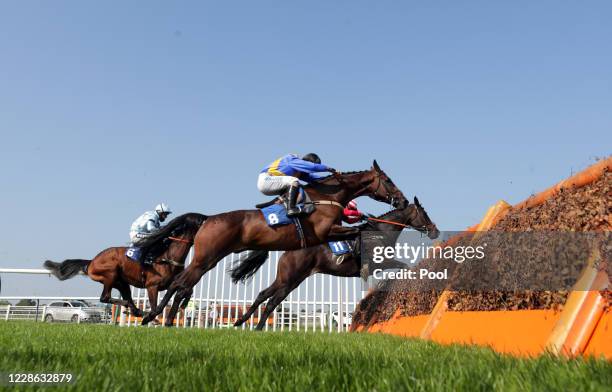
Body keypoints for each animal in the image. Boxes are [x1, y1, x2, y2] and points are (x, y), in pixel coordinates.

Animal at [43, 211, 206, 318]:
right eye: (199, 219)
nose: (208, 219)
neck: (168, 257)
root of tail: (92, 261)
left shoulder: (173, 281)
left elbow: (188, 290)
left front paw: (184, 304)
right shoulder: (152, 286)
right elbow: (155, 308)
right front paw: (151, 317)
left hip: (122, 282)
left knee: (125, 298)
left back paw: (136, 310)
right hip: (110, 274)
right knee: (105, 298)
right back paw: (133, 308)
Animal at [143, 161, 406, 326]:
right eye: (388, 180)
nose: (402, 200)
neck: (326, 197)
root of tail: (208, 219)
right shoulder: (326, 232)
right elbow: (357, 231)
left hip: (207, 259)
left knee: (179, 283)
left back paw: (157, 317)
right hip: (205, 259)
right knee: (181, 284)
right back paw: (161, 318)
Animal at [232, 198, 438, 330]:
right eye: (425, 214)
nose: (435, 231)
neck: (380, 233)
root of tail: (289, 250)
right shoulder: (379, 263)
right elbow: (404, 267)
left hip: (283, 278)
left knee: (262, 294)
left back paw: (240, 322)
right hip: (292, 280)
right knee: (272, 302)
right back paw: (258, 328)